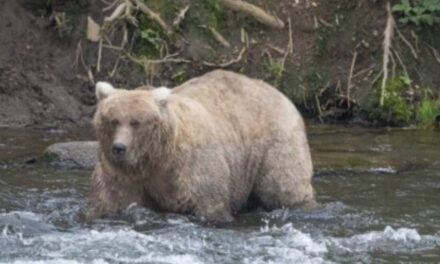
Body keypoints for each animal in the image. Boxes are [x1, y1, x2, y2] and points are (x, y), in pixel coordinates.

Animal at [85, 69, 312, 221]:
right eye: (113, 120)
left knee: (283, 185)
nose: (119, 148)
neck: (156, 160)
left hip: (274, 142)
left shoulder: (191, 168)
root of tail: (279, 93)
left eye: (136, 122)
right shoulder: (120, 175)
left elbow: (209, 203)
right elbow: (109, 201)